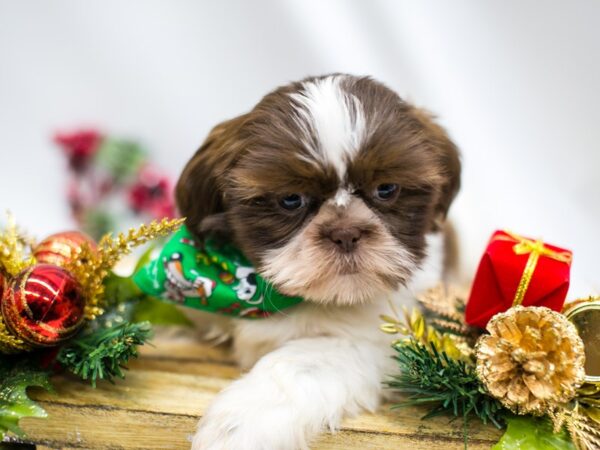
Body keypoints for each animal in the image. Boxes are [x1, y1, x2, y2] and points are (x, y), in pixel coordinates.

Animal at [176, 74, 462, 450]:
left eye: (386, 189)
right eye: (290, 199)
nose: (345, 233)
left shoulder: (381, 342)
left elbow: (298, 363)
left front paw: (240, 424)